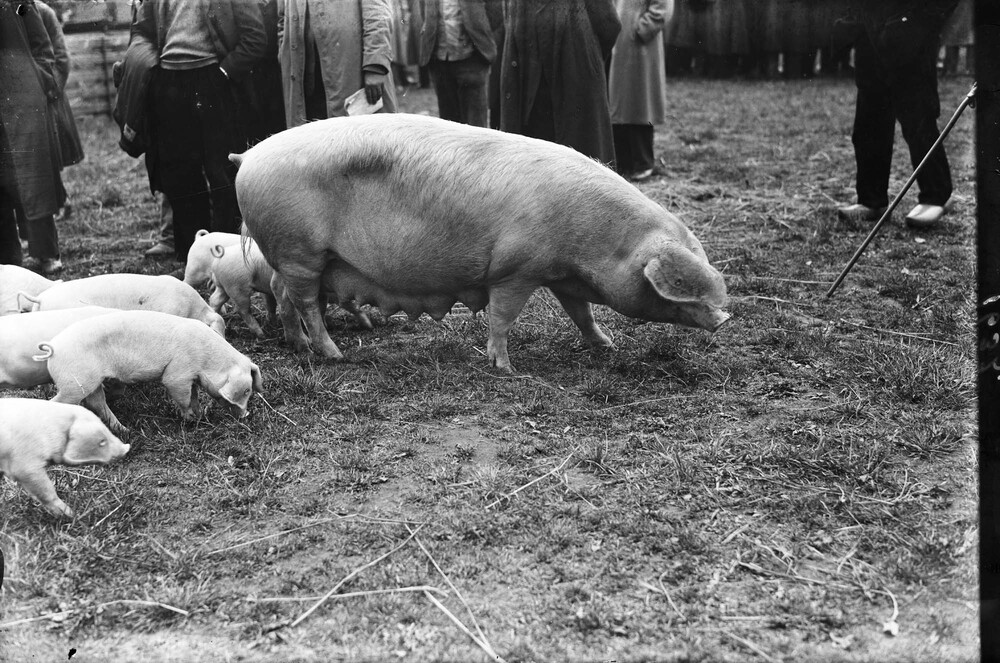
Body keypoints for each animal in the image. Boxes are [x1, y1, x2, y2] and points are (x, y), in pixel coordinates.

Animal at [33, 310, 263, 433]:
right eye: (246, 391)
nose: (247, 415)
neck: (206, 359)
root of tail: (53, 348)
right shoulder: (177, 373)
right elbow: (182, 395)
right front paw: (190, 419)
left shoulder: (192, 378)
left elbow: (194, 395)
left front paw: (199, 416)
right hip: (74, 383)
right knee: (57, 402)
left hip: (91, 382)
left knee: (96, 403)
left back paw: (125, 430)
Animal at [232, 114, 729, 371]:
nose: (726, 318)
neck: (590, 243)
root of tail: (248, 156)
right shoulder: (515, 270)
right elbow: (502, 318)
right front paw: (507, 368)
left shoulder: (560, 276)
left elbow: (582, 314)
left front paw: (606, 346)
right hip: (300, 250)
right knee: (305, 303)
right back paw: (336, 356)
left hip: (293, 257)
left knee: (283, 296)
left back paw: (300, 347)